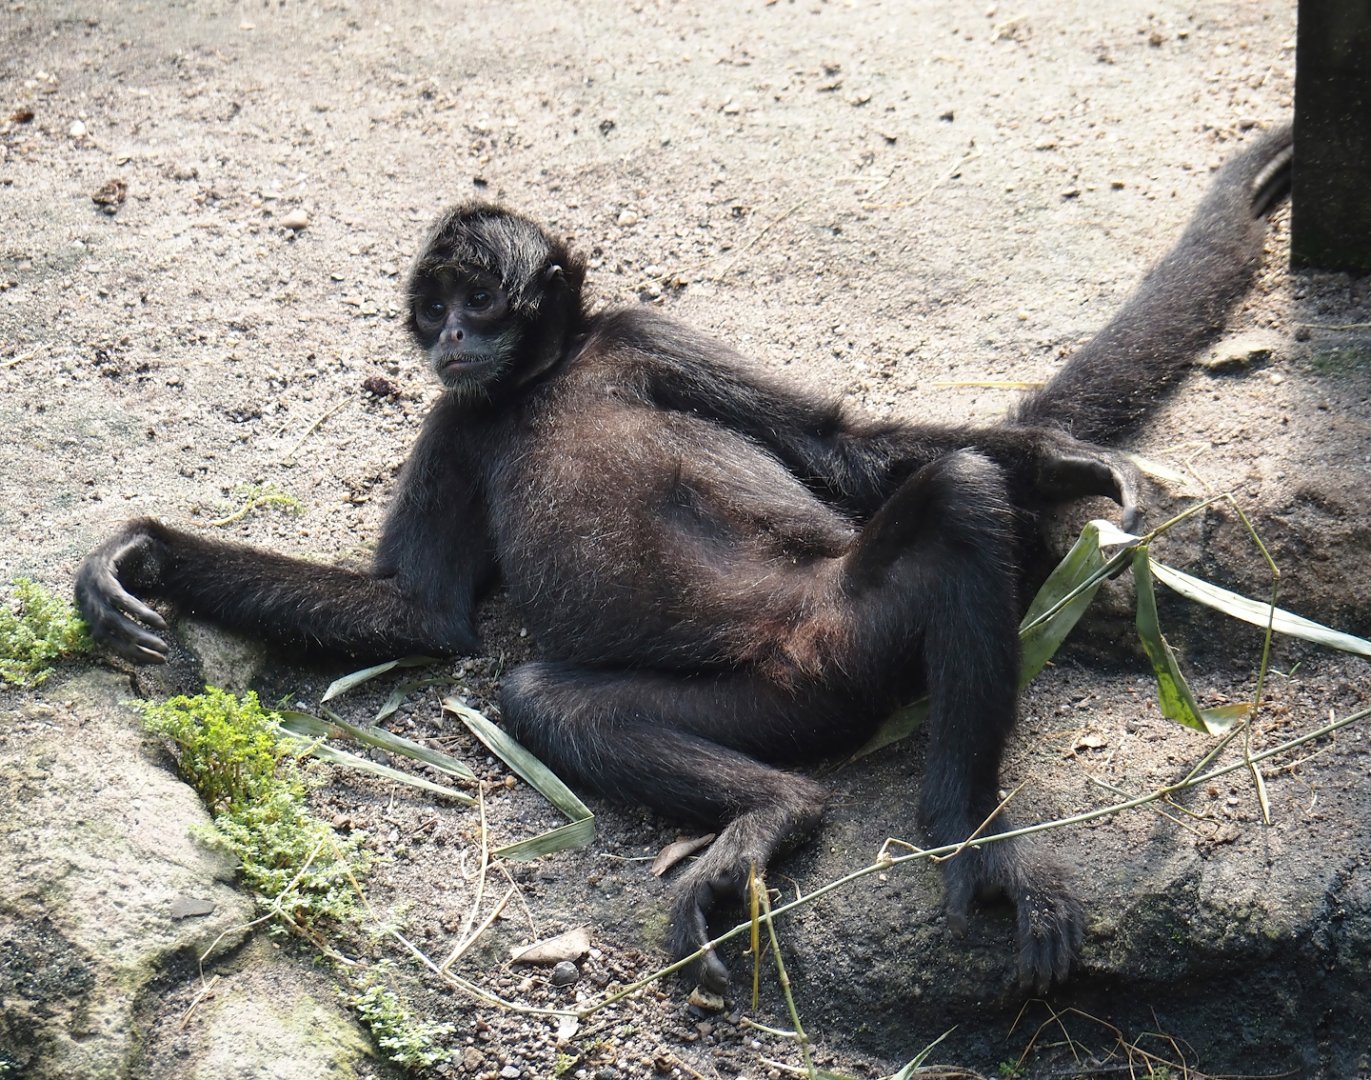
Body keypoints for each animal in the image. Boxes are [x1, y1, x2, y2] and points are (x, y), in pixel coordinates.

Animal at [76, 126, 1293, 994]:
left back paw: (966, 835)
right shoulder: (458, 416)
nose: (450, 337)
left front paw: (1060, 459)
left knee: (950, 493)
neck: (542, 380)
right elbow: (416, 615)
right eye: (434, 309)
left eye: (478, 299)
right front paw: (149, 556)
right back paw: (775, 817)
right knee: (539, 695)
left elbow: (841, 446)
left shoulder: (642, 337)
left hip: (859, 614)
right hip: (766, 704)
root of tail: (813, 655)